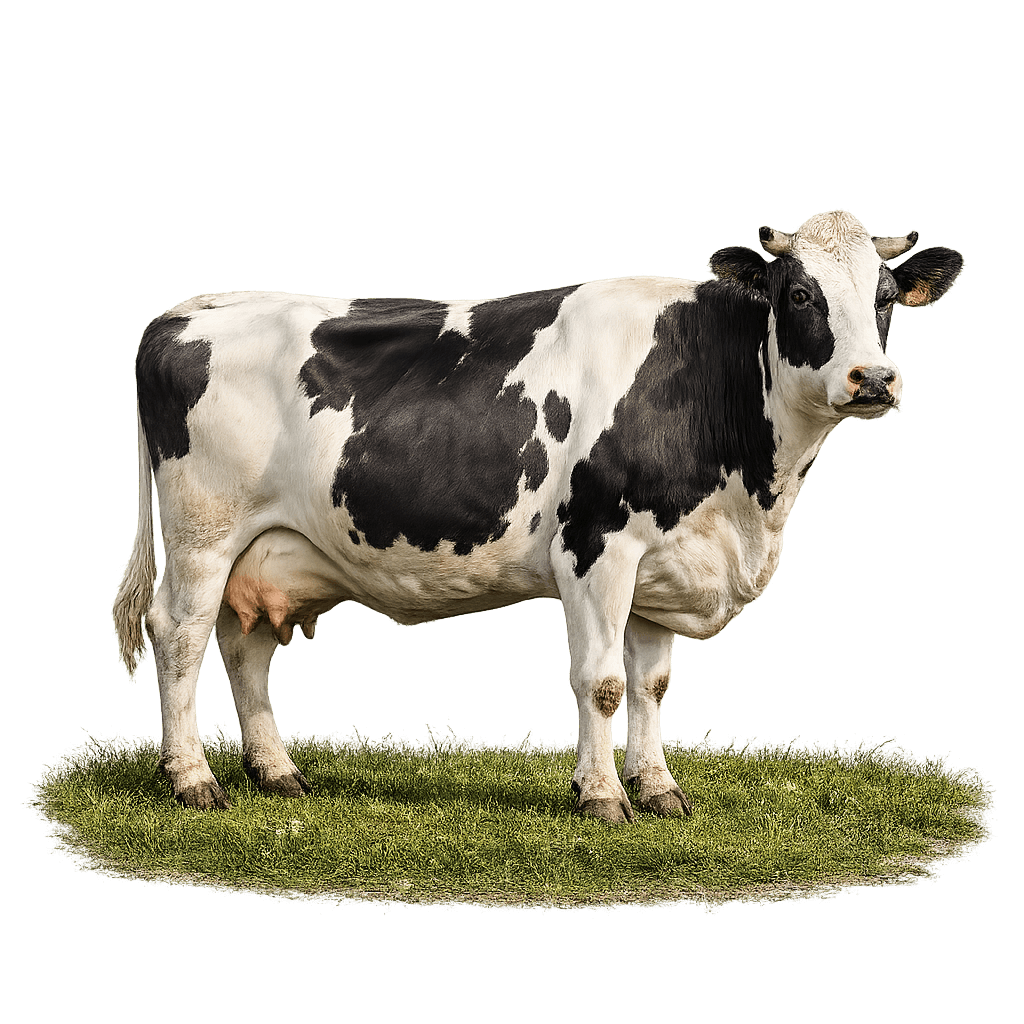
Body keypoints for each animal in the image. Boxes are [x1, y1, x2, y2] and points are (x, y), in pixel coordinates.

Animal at [112, 210, 963, 823]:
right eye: (800, 295)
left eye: (886, 300)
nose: (873, 379)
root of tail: (192, 309)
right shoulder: (596, 547)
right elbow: (603, 682)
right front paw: (603, 796)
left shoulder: (664, 564)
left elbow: (653, 686)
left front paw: (658, 788)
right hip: (202, 534)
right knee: (179, 634)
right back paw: (193, 780)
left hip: (265, 551)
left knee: (243, 645)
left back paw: (277, 771)